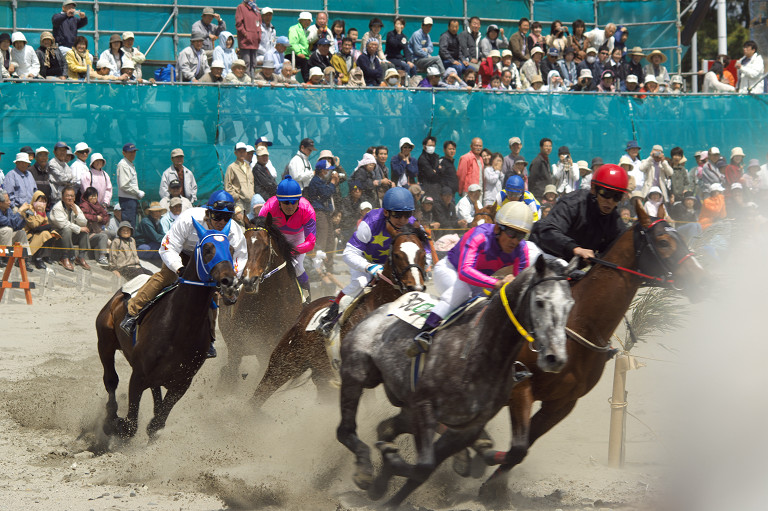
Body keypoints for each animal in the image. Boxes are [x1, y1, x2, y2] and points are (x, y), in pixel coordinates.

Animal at [97, 220, 240, 440]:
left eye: (231, 250)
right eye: (207, 249)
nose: (229, 282)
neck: (180, 329)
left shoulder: (181, 384)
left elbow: (156, 424)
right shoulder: (138, 376)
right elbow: (130, 426)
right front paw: (116, 425)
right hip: (104, 342)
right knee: (111, 380)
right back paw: (110, 417)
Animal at [252, 224, 432, 408]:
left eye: (423, 253)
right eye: (397, 254)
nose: (415, 288)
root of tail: (305, 311)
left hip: (320, 374)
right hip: (284, 362)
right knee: (259, 395)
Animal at [338, 256, 576, 508]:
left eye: (570, 304)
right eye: (540, 302)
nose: (555, 358)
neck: (479, 351)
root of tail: (380, 310)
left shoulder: (468, 425)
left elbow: (428, 467)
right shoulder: (425, 406)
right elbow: (424, 466)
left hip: (407, 408)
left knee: (386, 427)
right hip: (357, 374)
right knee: (345, 430)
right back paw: (364, 472)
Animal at [476, 201, 712, 496]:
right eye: (663, 241)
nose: (703, 280)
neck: (577, 322)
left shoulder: (563, 403)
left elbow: (520, 449)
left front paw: (490, 479)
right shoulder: (520, 387)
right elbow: (515, 446)